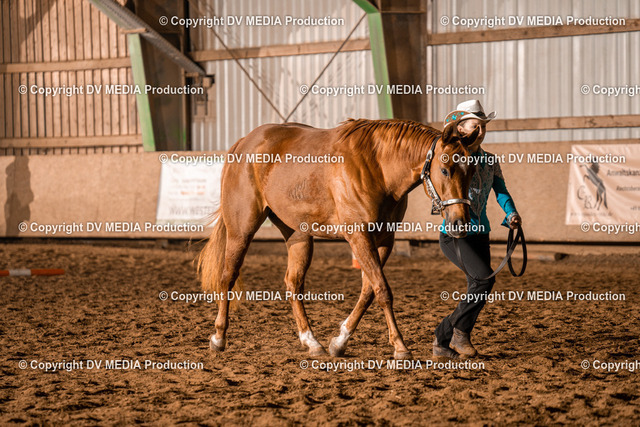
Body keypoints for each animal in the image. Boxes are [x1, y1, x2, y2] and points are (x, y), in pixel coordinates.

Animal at [198, 119, 479, 359]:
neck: (377, 167)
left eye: (472, 171)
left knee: (293, 283)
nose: (460, 223)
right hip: (241, 230)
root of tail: (244, 142)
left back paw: (311, 342)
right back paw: (219, 337)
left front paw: (339, 341)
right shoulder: (359, 235)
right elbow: (382, 290)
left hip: (298, 235)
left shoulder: (384, 239)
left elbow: (368, 290)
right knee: (228, 276)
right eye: (445, 169)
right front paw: (400, 346)